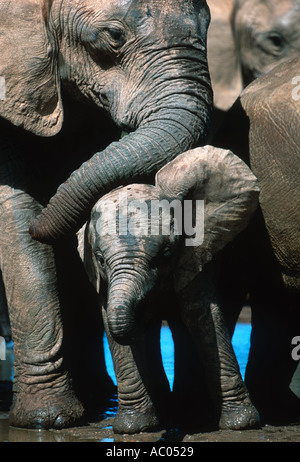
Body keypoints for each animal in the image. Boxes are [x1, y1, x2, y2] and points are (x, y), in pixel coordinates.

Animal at [77, 145, 260, 434]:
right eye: (100, 259)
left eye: (164, 254)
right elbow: (110, 322)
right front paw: (134, 427)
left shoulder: (195, 255)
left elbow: (200, 315)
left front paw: (242, 423)